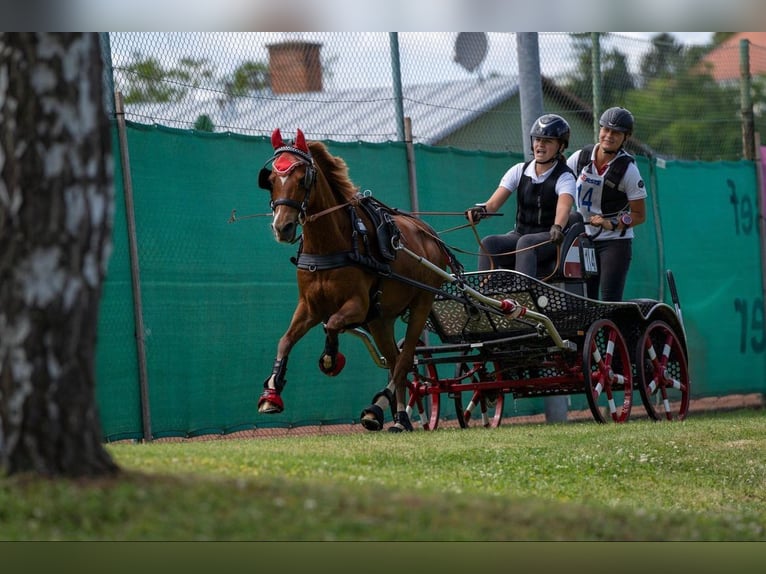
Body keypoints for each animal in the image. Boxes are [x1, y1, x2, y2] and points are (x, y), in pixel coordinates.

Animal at [258, 130, 450, 432]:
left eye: (303, 179)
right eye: (272, 181)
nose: (282, 227)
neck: (330, 245)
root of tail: (429, 234)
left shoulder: (357, 306)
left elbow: (334, 324)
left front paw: (330, 359)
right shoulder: (309, 307)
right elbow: (285, 340)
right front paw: (271, 392)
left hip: (421, 303)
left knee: (405, 359)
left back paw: (380, 409)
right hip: (381, 320)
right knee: (394, 360)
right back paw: (399, 417)